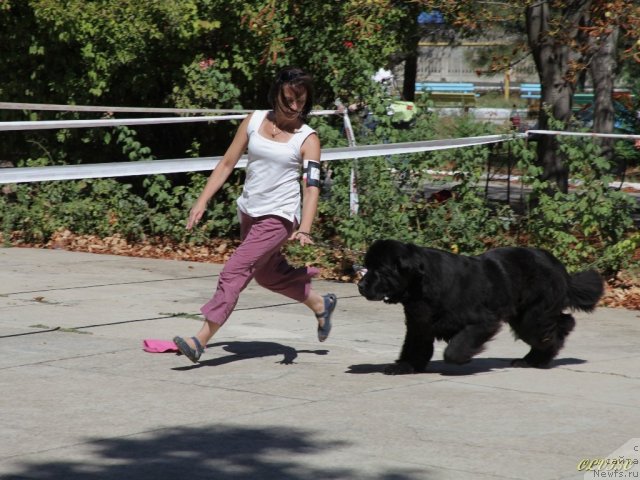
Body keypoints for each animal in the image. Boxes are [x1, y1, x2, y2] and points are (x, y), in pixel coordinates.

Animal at [360, 240, 604, 376]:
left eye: (379, 270)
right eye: (366, 267)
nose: (360, 285)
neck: (421, 286)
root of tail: (558, 265)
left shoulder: (482, 320)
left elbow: (455, 348)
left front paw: (462, 358)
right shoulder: (419, 324)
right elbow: (413, 348)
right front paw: (404, 366)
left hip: (532, 317)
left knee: (557, 328)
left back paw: (536, 360)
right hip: (524, 317)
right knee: (560, 323)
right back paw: (530, 360)